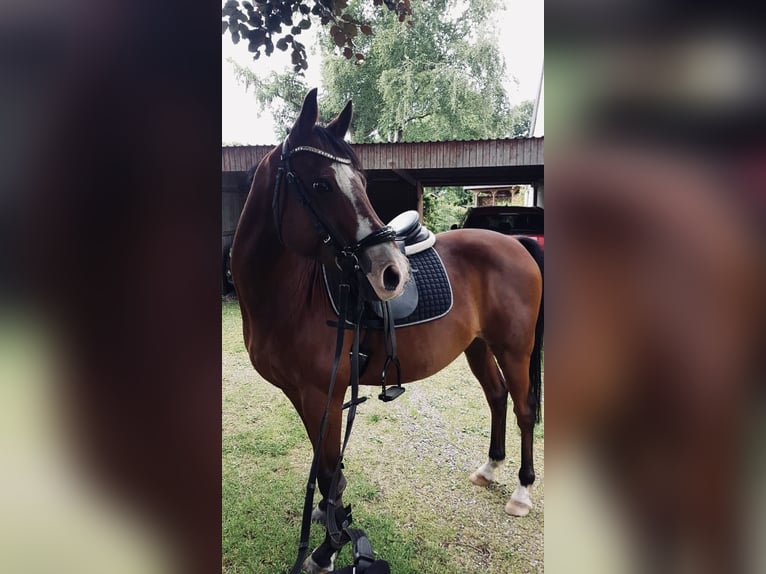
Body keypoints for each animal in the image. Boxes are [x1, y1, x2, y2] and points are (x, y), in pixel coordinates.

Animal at [231, 88, 544, 573]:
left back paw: (521, 491)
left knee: (524, 409)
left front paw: (326, 549)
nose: (392, 273)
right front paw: (327, 518)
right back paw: (489, 468)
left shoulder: (323, 394)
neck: (293, 295)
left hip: (515, 349)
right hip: (478, 347)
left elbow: (327, 471)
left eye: (362, 180)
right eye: (321, 185)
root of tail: (517, 243)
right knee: (497, 396)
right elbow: (325, 467)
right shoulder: (303, 396)